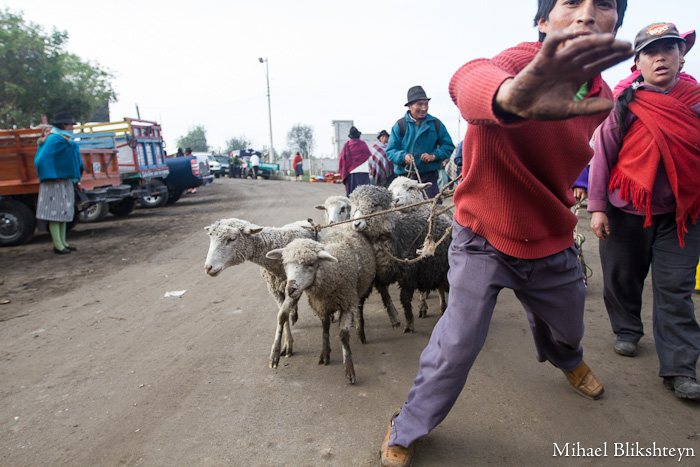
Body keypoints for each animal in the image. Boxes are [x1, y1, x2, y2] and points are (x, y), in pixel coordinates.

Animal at [201, 219, 314, 362]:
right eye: (210, 237)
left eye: (232, 239)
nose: (208, 268)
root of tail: (304, 221)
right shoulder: (274, 288)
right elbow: (283, 314)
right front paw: (287, 342)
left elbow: (282, 315)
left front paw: (283, 348)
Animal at [266, 227, 378, 384]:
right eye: (285, 264)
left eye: (311, 264)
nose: (290, 289)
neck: (334, 272)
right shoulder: (320, 305)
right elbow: (323, 328)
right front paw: (325, 353)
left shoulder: (347, 301)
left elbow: (343, 335)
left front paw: (349, 369)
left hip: (361, 290)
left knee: (359, 308)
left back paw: (360, 331)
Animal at [348, 185, 452, 334]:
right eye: (353, 205)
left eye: (375, 205)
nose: (356, 224)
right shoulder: (379, 275)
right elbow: (385, 296)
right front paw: (394, 318)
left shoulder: (408, 273)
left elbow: (405, 300)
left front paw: (409, 324)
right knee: (441, 288)